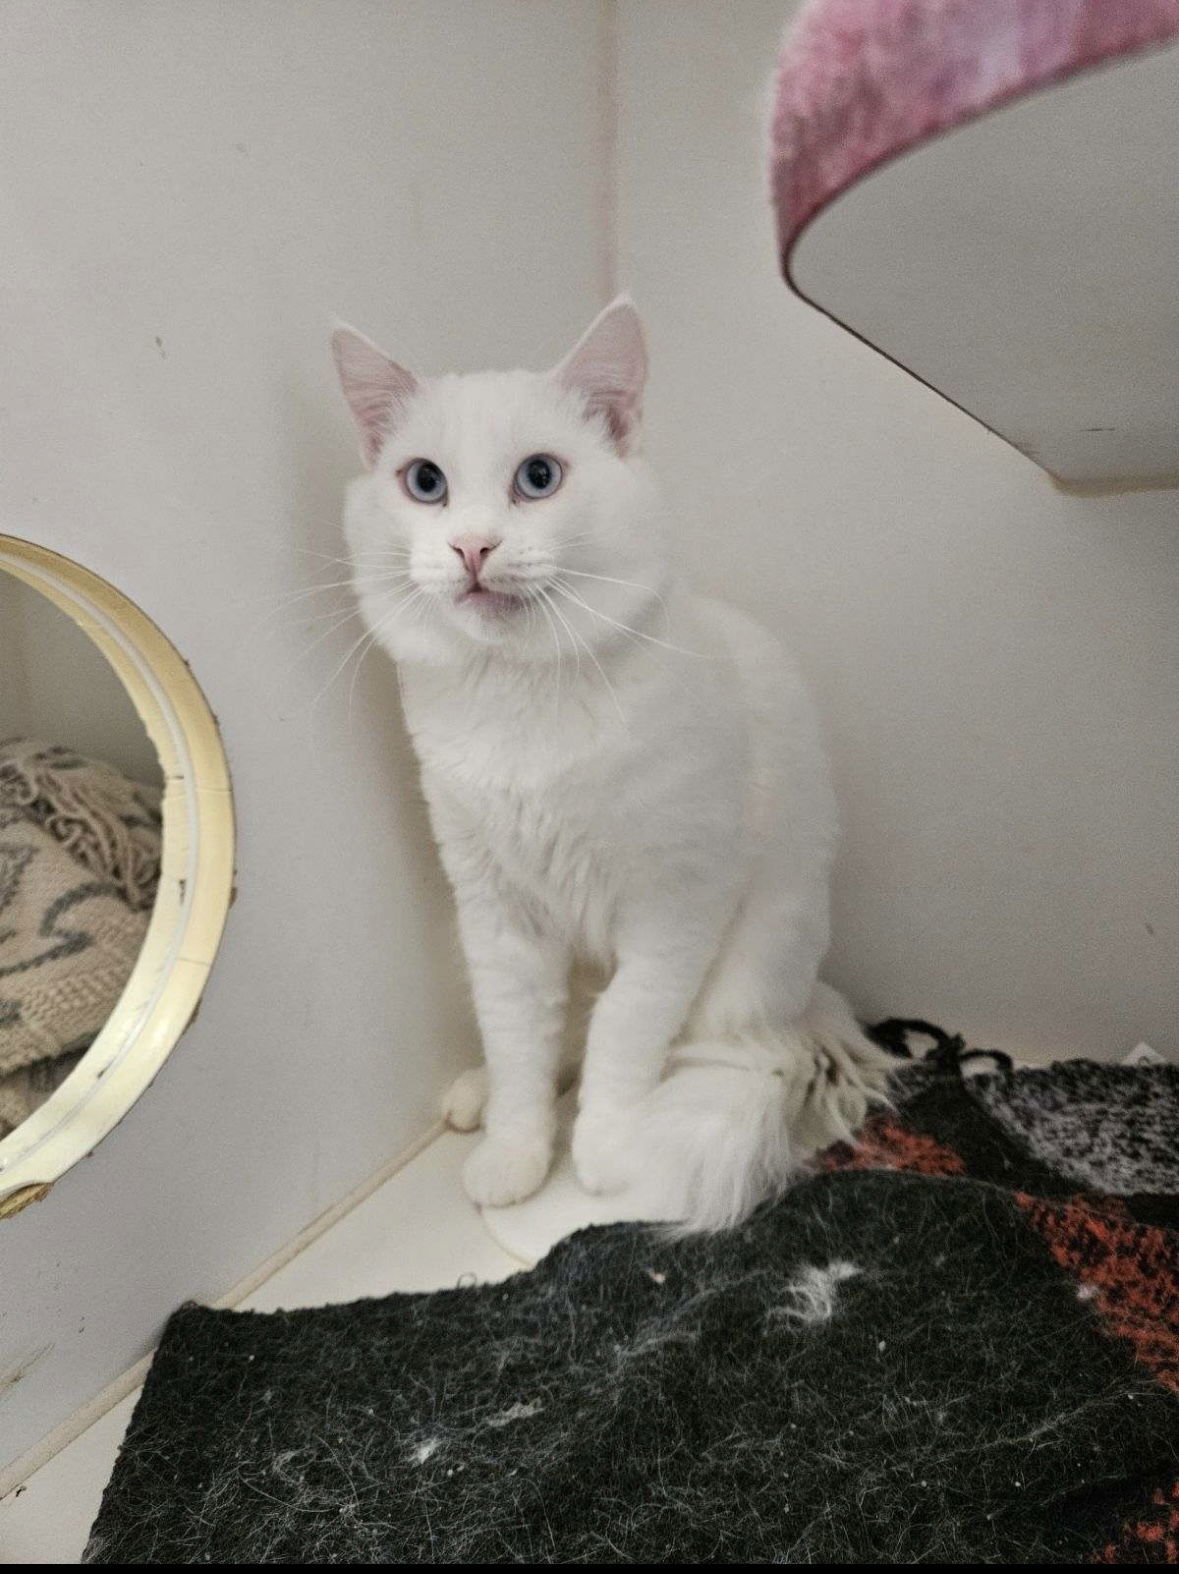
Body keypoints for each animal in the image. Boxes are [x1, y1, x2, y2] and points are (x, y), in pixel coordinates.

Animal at [330, 295, 881, 1227]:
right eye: (425, 483)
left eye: (538, 478)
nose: (471, 548)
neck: (520, 705)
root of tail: (806, 1005)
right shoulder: (498, 916)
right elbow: (520, 1046)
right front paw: (514, 1156)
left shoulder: (675, 905)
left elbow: (627, 1032)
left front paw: (605, 1154)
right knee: (553, 1044)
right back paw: (476, 1097)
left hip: (747, 974)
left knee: (648, 1044)